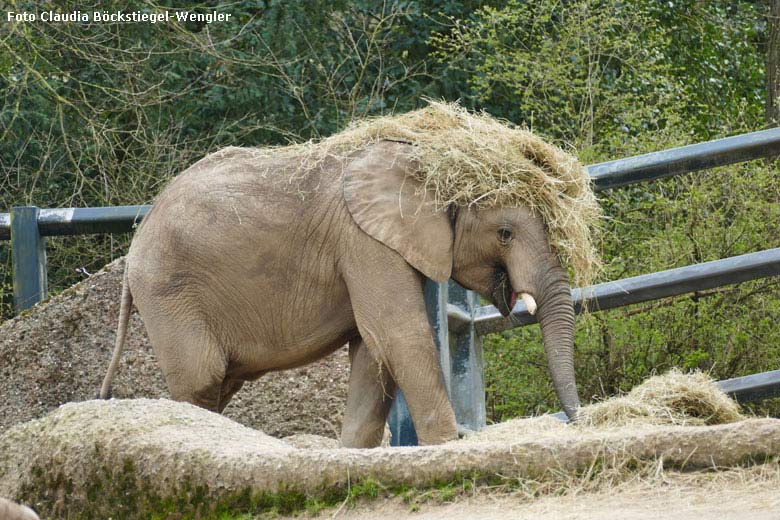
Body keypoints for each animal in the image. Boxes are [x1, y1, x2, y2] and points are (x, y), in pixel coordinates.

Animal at [100, 106, 596, 446]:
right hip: (169, 290)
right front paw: (445, 447)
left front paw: (354, 453)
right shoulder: (362, 239)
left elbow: (373, 353)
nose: (578, 421)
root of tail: (138, 235)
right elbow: (398, 335)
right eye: (505, 234)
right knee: (201, 380)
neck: (420, 159)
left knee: (218, 384)